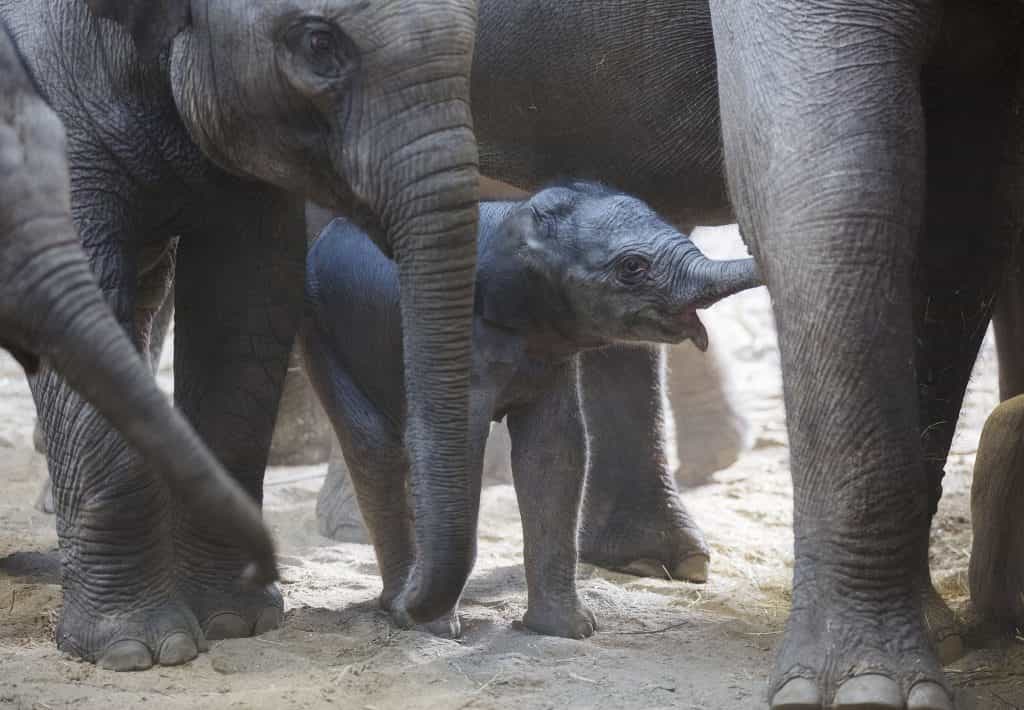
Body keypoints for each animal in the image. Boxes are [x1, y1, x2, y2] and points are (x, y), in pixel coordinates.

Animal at [301, 180, 761, 638]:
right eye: (632, 267)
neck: (517, 218)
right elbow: (459, 448)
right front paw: (437, 628)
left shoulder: (550, 348)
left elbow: (554, 451)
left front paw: (567, 630)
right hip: (322, 329)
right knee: (374, 447)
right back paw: (402, 605)